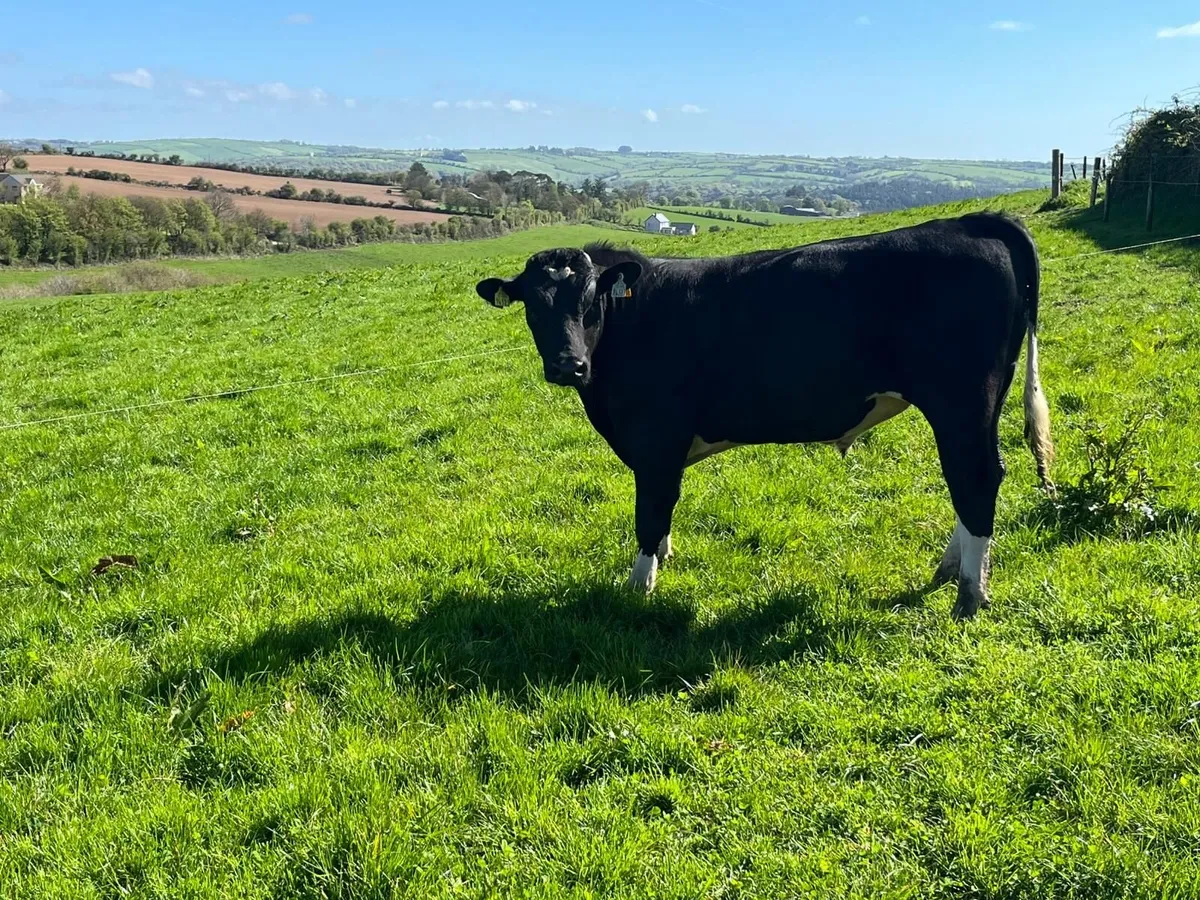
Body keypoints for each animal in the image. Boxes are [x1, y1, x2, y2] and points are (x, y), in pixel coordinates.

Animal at [475, 212, 1053, 619]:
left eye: (592, 298)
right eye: (533, 304)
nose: (567, 365)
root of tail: (973, 221)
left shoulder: (656, 438)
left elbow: (650, 512)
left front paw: (640, 586)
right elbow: (662, 514)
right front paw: (662, 560)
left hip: (961, 400)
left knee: (975, 479)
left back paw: (968, 596)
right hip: (979, 404)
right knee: (973, 479)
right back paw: (951, 572)